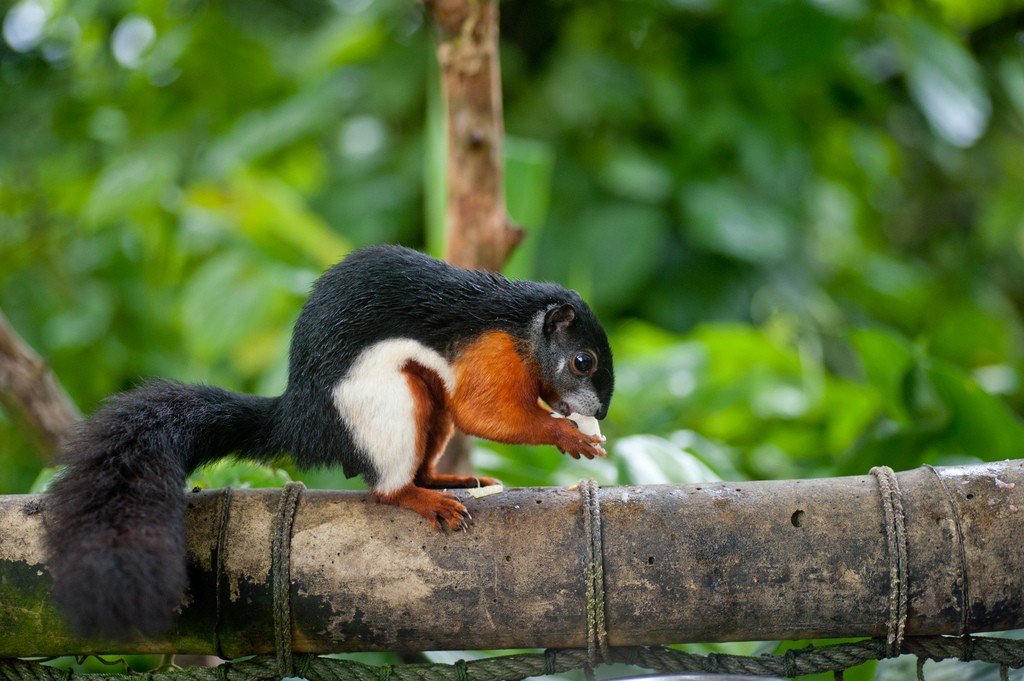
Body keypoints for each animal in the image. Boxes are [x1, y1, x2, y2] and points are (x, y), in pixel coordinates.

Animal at [44, 246, 610, 639]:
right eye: (583, 361)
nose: (599, 413)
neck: (521, 326)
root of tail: (302, 421)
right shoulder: (489, 352)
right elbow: (482, 410)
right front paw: (566, 433)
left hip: (423, 409)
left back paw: (449, 480)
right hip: (385, 405)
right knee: (387, 487)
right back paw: (423, 499)